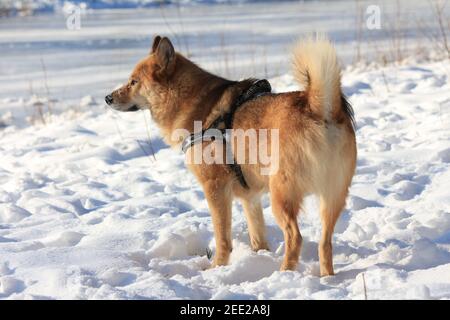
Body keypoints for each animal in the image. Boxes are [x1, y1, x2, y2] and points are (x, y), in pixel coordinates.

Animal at [105, 34, 356, 276]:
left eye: (133, 81)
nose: (107, 98)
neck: (191, 103)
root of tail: (318, 107)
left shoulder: (215, 188)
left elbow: (222, 237)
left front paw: (217, 267)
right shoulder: (250, 197)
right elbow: (257, 235)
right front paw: (258, 256)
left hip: (281, 196)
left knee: (295, 237)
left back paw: (284, 274)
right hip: (332, 198)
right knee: (325, 243)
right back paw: (326, 277)